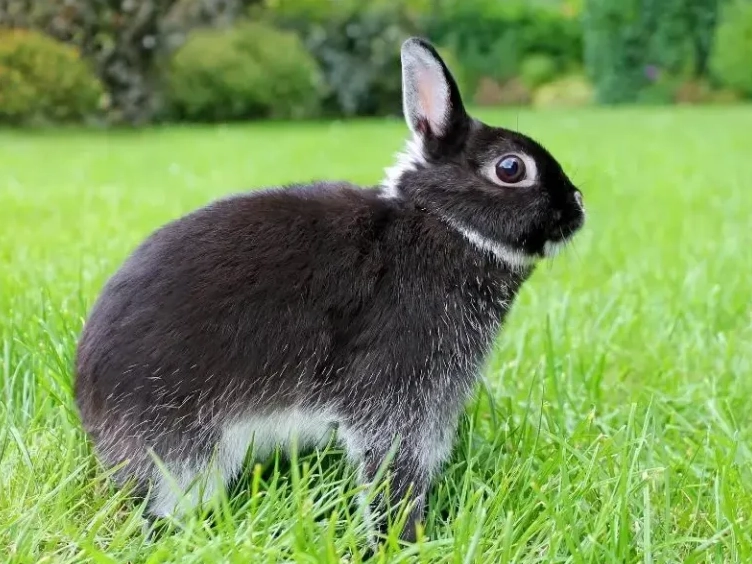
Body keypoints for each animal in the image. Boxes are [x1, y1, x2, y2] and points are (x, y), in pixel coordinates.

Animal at [74, 37, 585, 543]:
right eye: (511, 168)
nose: (578, 206)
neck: (444, 224)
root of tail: (92, 408)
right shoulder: (396, 394)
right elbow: (392, 469)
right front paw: (403, 537)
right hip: (186, 443)